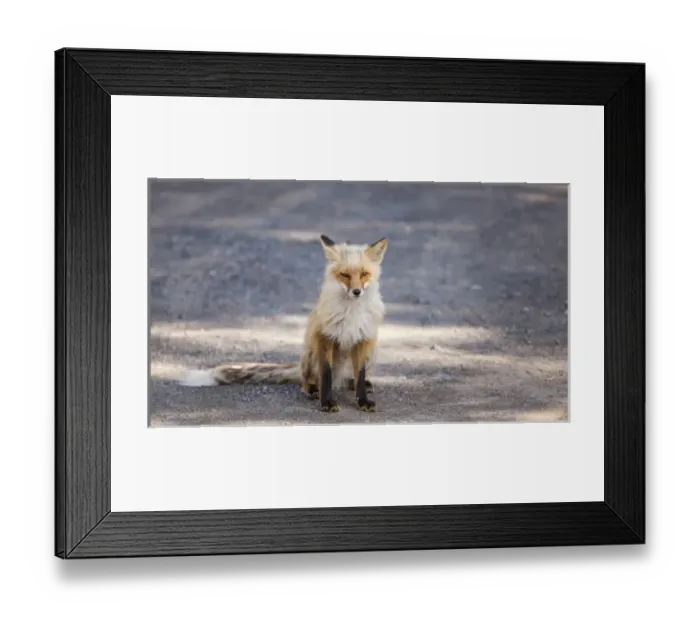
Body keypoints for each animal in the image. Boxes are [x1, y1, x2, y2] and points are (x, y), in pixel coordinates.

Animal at [179, 235, 389, 413]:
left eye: (364, 274)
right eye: (345, 275)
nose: (356, 292)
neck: (351, 314)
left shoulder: (363, 339)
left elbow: (359, 377)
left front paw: (362, 401)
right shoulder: (324, 337)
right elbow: (326, 376)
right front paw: (327, 402)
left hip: (373, 350)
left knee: (349, 379)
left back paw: (354, 383)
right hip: (311, 353)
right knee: (310, 380)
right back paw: (311, 389)